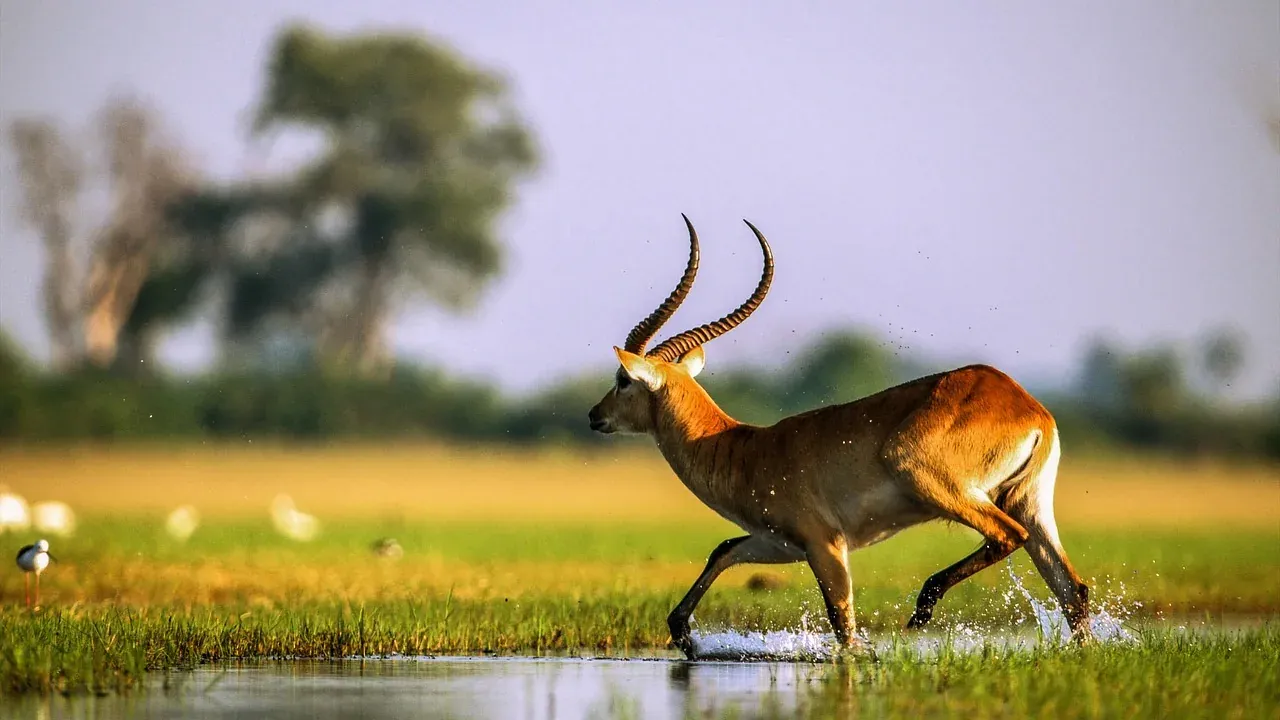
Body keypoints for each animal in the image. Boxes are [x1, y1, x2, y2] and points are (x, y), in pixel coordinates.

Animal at [587, 216, 1092, 658]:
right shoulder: (778, 543)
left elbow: (843, 625)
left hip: (937, 482)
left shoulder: (825, 544)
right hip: (1028, 501)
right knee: (1072, 588)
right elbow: (724, 550)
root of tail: (1027, 407)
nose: (595, 416)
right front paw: (684, 637)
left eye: (622, 379)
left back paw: (923, 607)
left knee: (1008, 536)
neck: (743, 449)